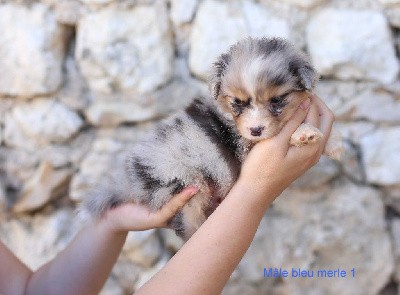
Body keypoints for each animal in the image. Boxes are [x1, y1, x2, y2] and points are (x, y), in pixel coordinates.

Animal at [80, 36, 340, 240]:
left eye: (277, 100)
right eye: (238, 102)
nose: (256, 129)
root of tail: (131, 182)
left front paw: (333, 144)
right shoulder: (243, 143)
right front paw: (305, 133)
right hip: (186, 186)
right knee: (189, 221)